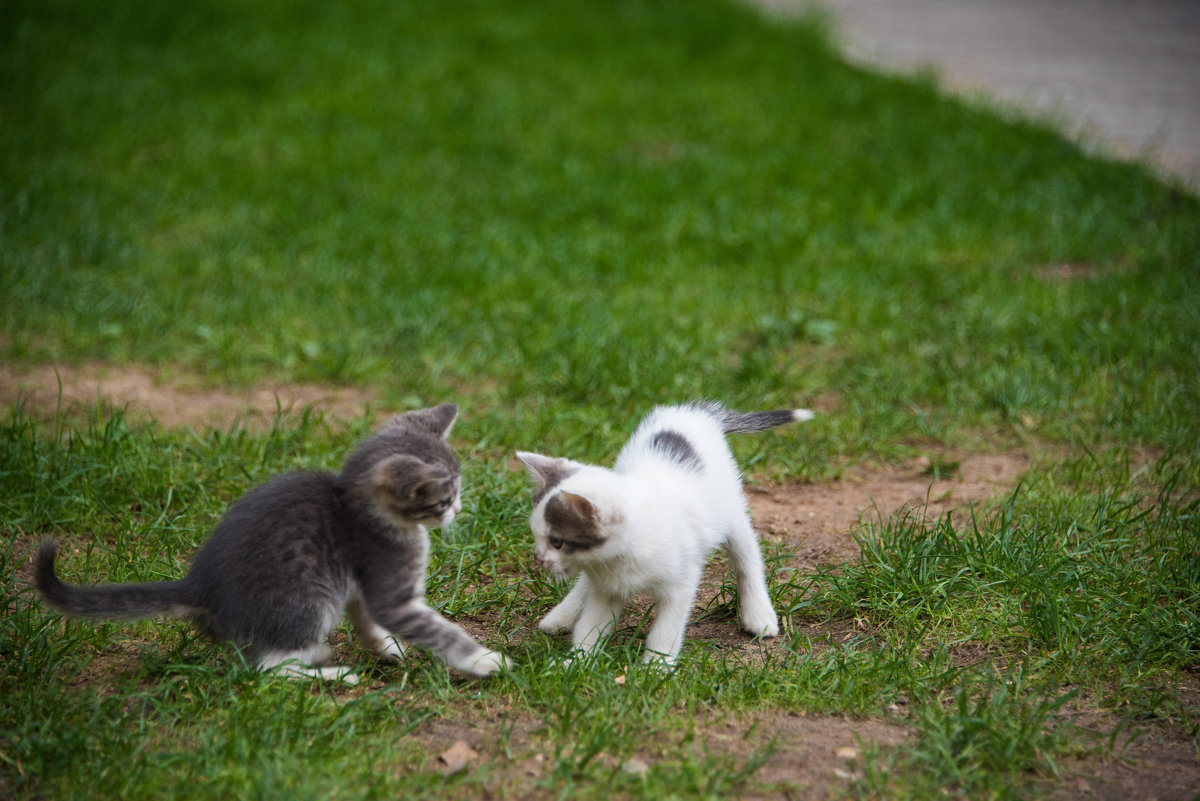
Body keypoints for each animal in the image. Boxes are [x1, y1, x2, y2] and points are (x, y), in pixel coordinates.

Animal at [35, 402, 508, 681]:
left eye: (457, 492)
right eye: (445, 497)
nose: (458, 510)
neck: (355, 506)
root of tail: (198, 586)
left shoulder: (361, 583)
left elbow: (367, 618)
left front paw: (385, 646)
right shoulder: (388, 577)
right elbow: (436, 630)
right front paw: (483, 660)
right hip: (306, 601)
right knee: (265, 671)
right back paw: (330, 672)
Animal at [516, 398, 816, 661]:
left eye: (557, 541)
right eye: (538, 538)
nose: (538, 559)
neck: (620, 554)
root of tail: (692, 413)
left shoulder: (682, 582)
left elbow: (667, 629)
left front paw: (657, 666)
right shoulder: (606, 588)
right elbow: (591, 625)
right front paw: (578, 662)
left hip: (730, 512)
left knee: (747, 557)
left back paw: (759, 614)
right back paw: (561, 616)